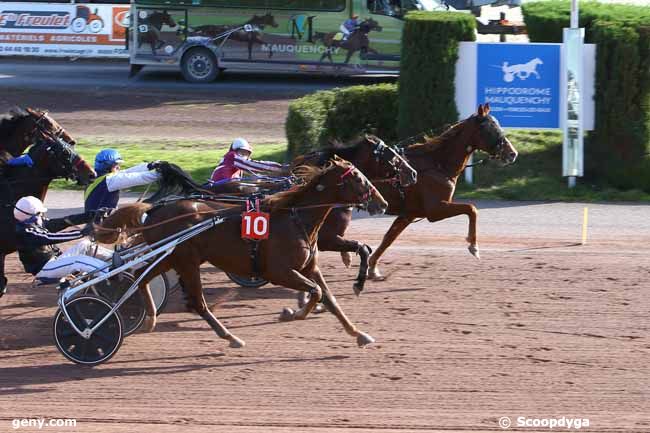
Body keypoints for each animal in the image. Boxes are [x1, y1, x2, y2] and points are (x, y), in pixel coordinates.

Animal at [96, 158, 388, 348]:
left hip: (170, 257)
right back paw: (230, 337)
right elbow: (315, 292)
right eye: (359, 178)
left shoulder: (309, 267)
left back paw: (150, 318)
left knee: (142, 278)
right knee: (197, 303)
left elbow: (329, 298)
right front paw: (293, 314)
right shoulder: (280, 271)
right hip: (185, 261)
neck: (296, 218)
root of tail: (154, 210)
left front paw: (358, 334)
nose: (383, 202)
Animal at [362, 103, 520, 278]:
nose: (512, 153)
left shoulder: (409, 214)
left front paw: (372, 267)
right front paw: (474, 247)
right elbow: (471, 209)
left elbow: (389, 238)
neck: (436, 165)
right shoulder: (435, 210)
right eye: (490, 129)